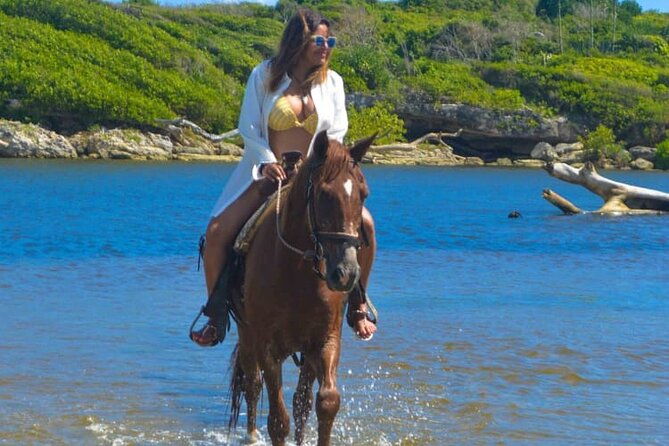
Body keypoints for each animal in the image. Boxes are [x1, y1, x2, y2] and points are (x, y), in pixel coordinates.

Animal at [227, 130, 375, 446]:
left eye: (363, 194)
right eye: (323, 194)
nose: (346, 273)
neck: (295, 272)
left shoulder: (325, 341)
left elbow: (324, 402)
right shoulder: (268, 347)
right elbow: (278, 419)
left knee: (301, 401)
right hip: (247, 334)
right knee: (252, 383)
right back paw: (251, 435)